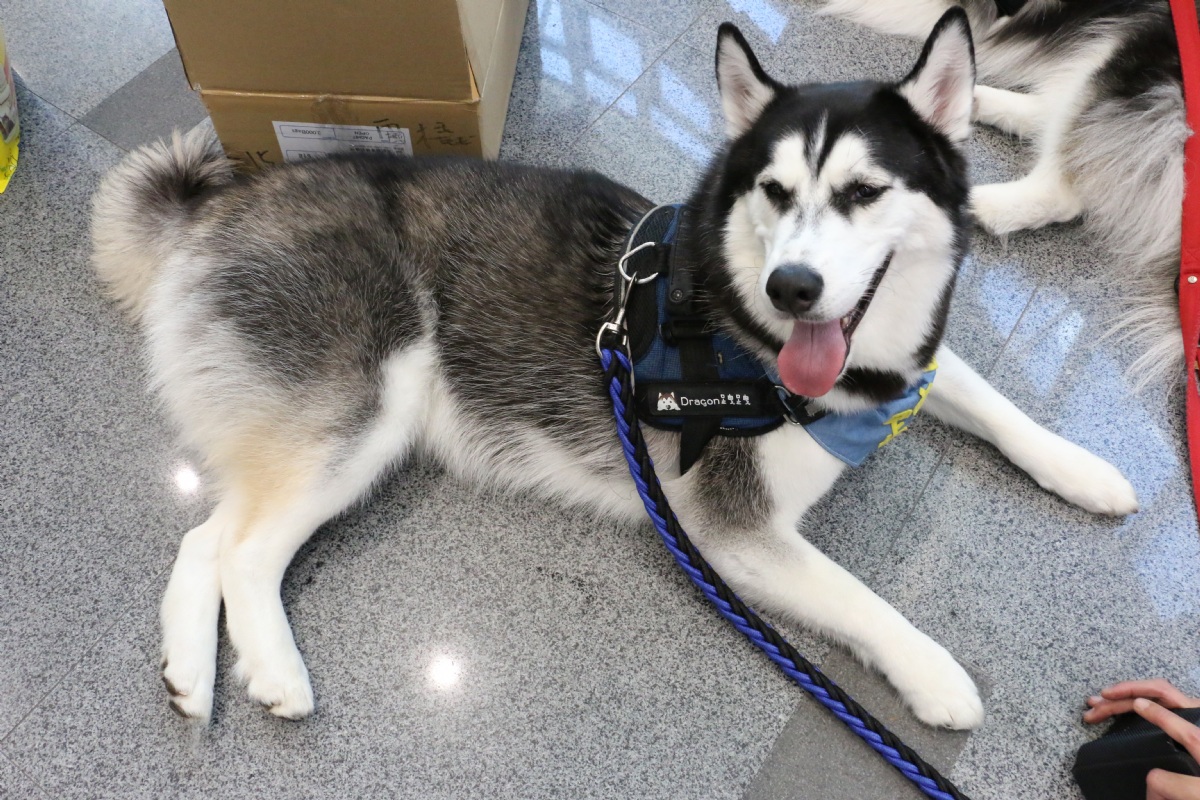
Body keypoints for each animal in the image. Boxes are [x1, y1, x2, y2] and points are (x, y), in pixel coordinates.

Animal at [92, 11, 1138, 730]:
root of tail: (224, 201)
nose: (793, 286)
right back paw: (275, 669)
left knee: (206, 540)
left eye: (864, 192)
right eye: (775, 191)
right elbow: (862, 600)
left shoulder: (906, 364)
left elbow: (995, 404)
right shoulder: (731, 530)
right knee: (241, 550)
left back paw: (192, 678)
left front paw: (1087, 470)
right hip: (364, 407)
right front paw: (937, 674)